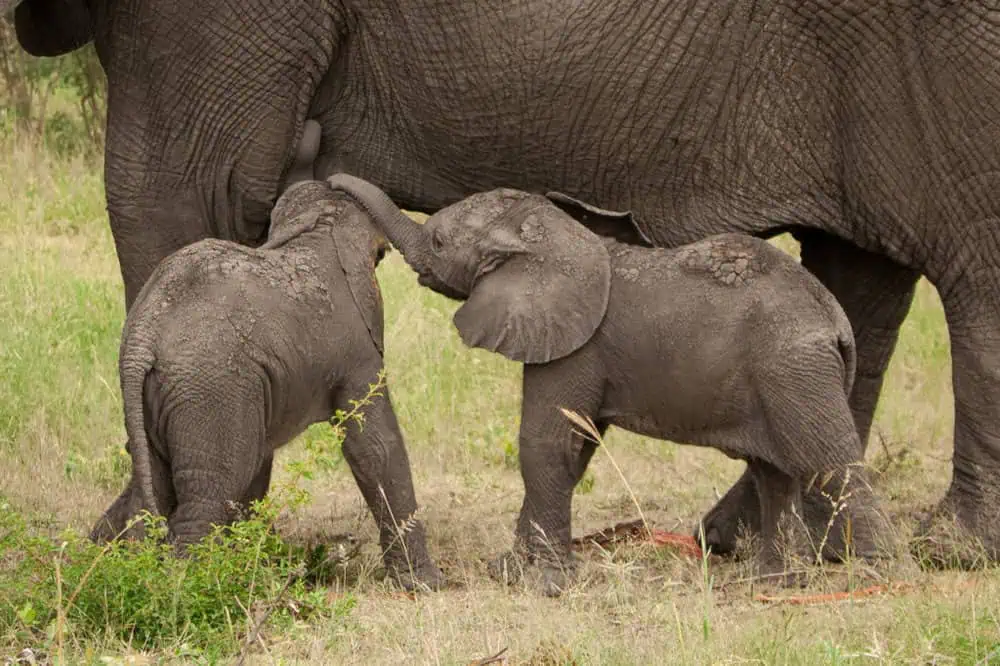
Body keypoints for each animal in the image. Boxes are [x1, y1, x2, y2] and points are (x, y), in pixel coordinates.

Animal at [89, 173, 444, 591]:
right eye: (382, 256)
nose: (336, 176)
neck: (314, 228)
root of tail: (143, 336)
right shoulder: (358, 348)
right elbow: (374, 445)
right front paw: (428, 585)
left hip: (169, 395)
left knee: (154, 492)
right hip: (209, 389)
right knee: (211, 495)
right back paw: (196, 587)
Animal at [326, 173, 891, 594]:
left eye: (440, 242)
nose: (330, 181)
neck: (556, 238)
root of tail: (833, 317)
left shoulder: (575, 346)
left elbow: (546, 443)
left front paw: (545, 586)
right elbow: (576, 450)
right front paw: (511, 570)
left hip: (794, 370)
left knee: (829, 465)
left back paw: (876, 575)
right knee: (774, 474)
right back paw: (773, 584)